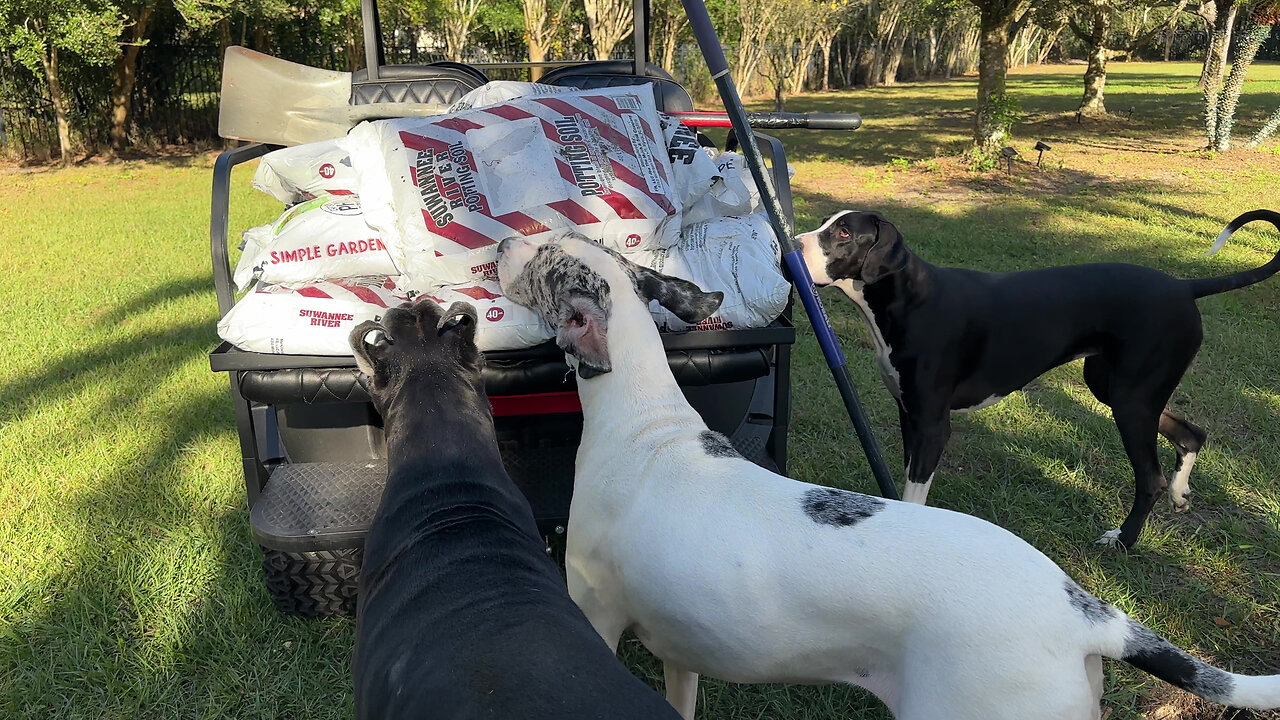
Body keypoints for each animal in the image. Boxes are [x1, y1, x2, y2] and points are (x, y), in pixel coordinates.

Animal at [798, 207, 1280, 543]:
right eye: (827, 224)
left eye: (844, 233)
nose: (795, 245)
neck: (909, 300)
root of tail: (1183, 286)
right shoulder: (909, 416)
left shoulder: (933, 425)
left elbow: (916, 495)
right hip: (1119, 390)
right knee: (1191, 434)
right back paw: (1180, 493)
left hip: (1131, 402)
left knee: (1150, 479)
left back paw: (1123, 540)